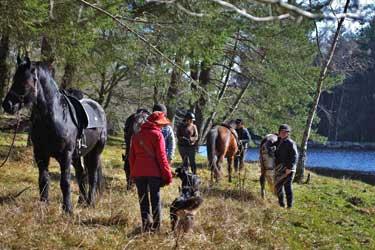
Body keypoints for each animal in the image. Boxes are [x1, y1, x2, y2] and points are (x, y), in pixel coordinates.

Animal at [2, 57, 107, 213]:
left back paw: (90, 202)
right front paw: (43, 205)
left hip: (94, 153)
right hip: (77, 156)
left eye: (25, 80)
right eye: (14, 78)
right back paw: (81, 201)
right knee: (81, 174)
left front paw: (67, 209)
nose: (7, 105)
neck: (54, 117)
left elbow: (65, 182)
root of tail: (99, 108)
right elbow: (44, 179)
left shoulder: (65, 155)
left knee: (92, 176)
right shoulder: (40, 154)